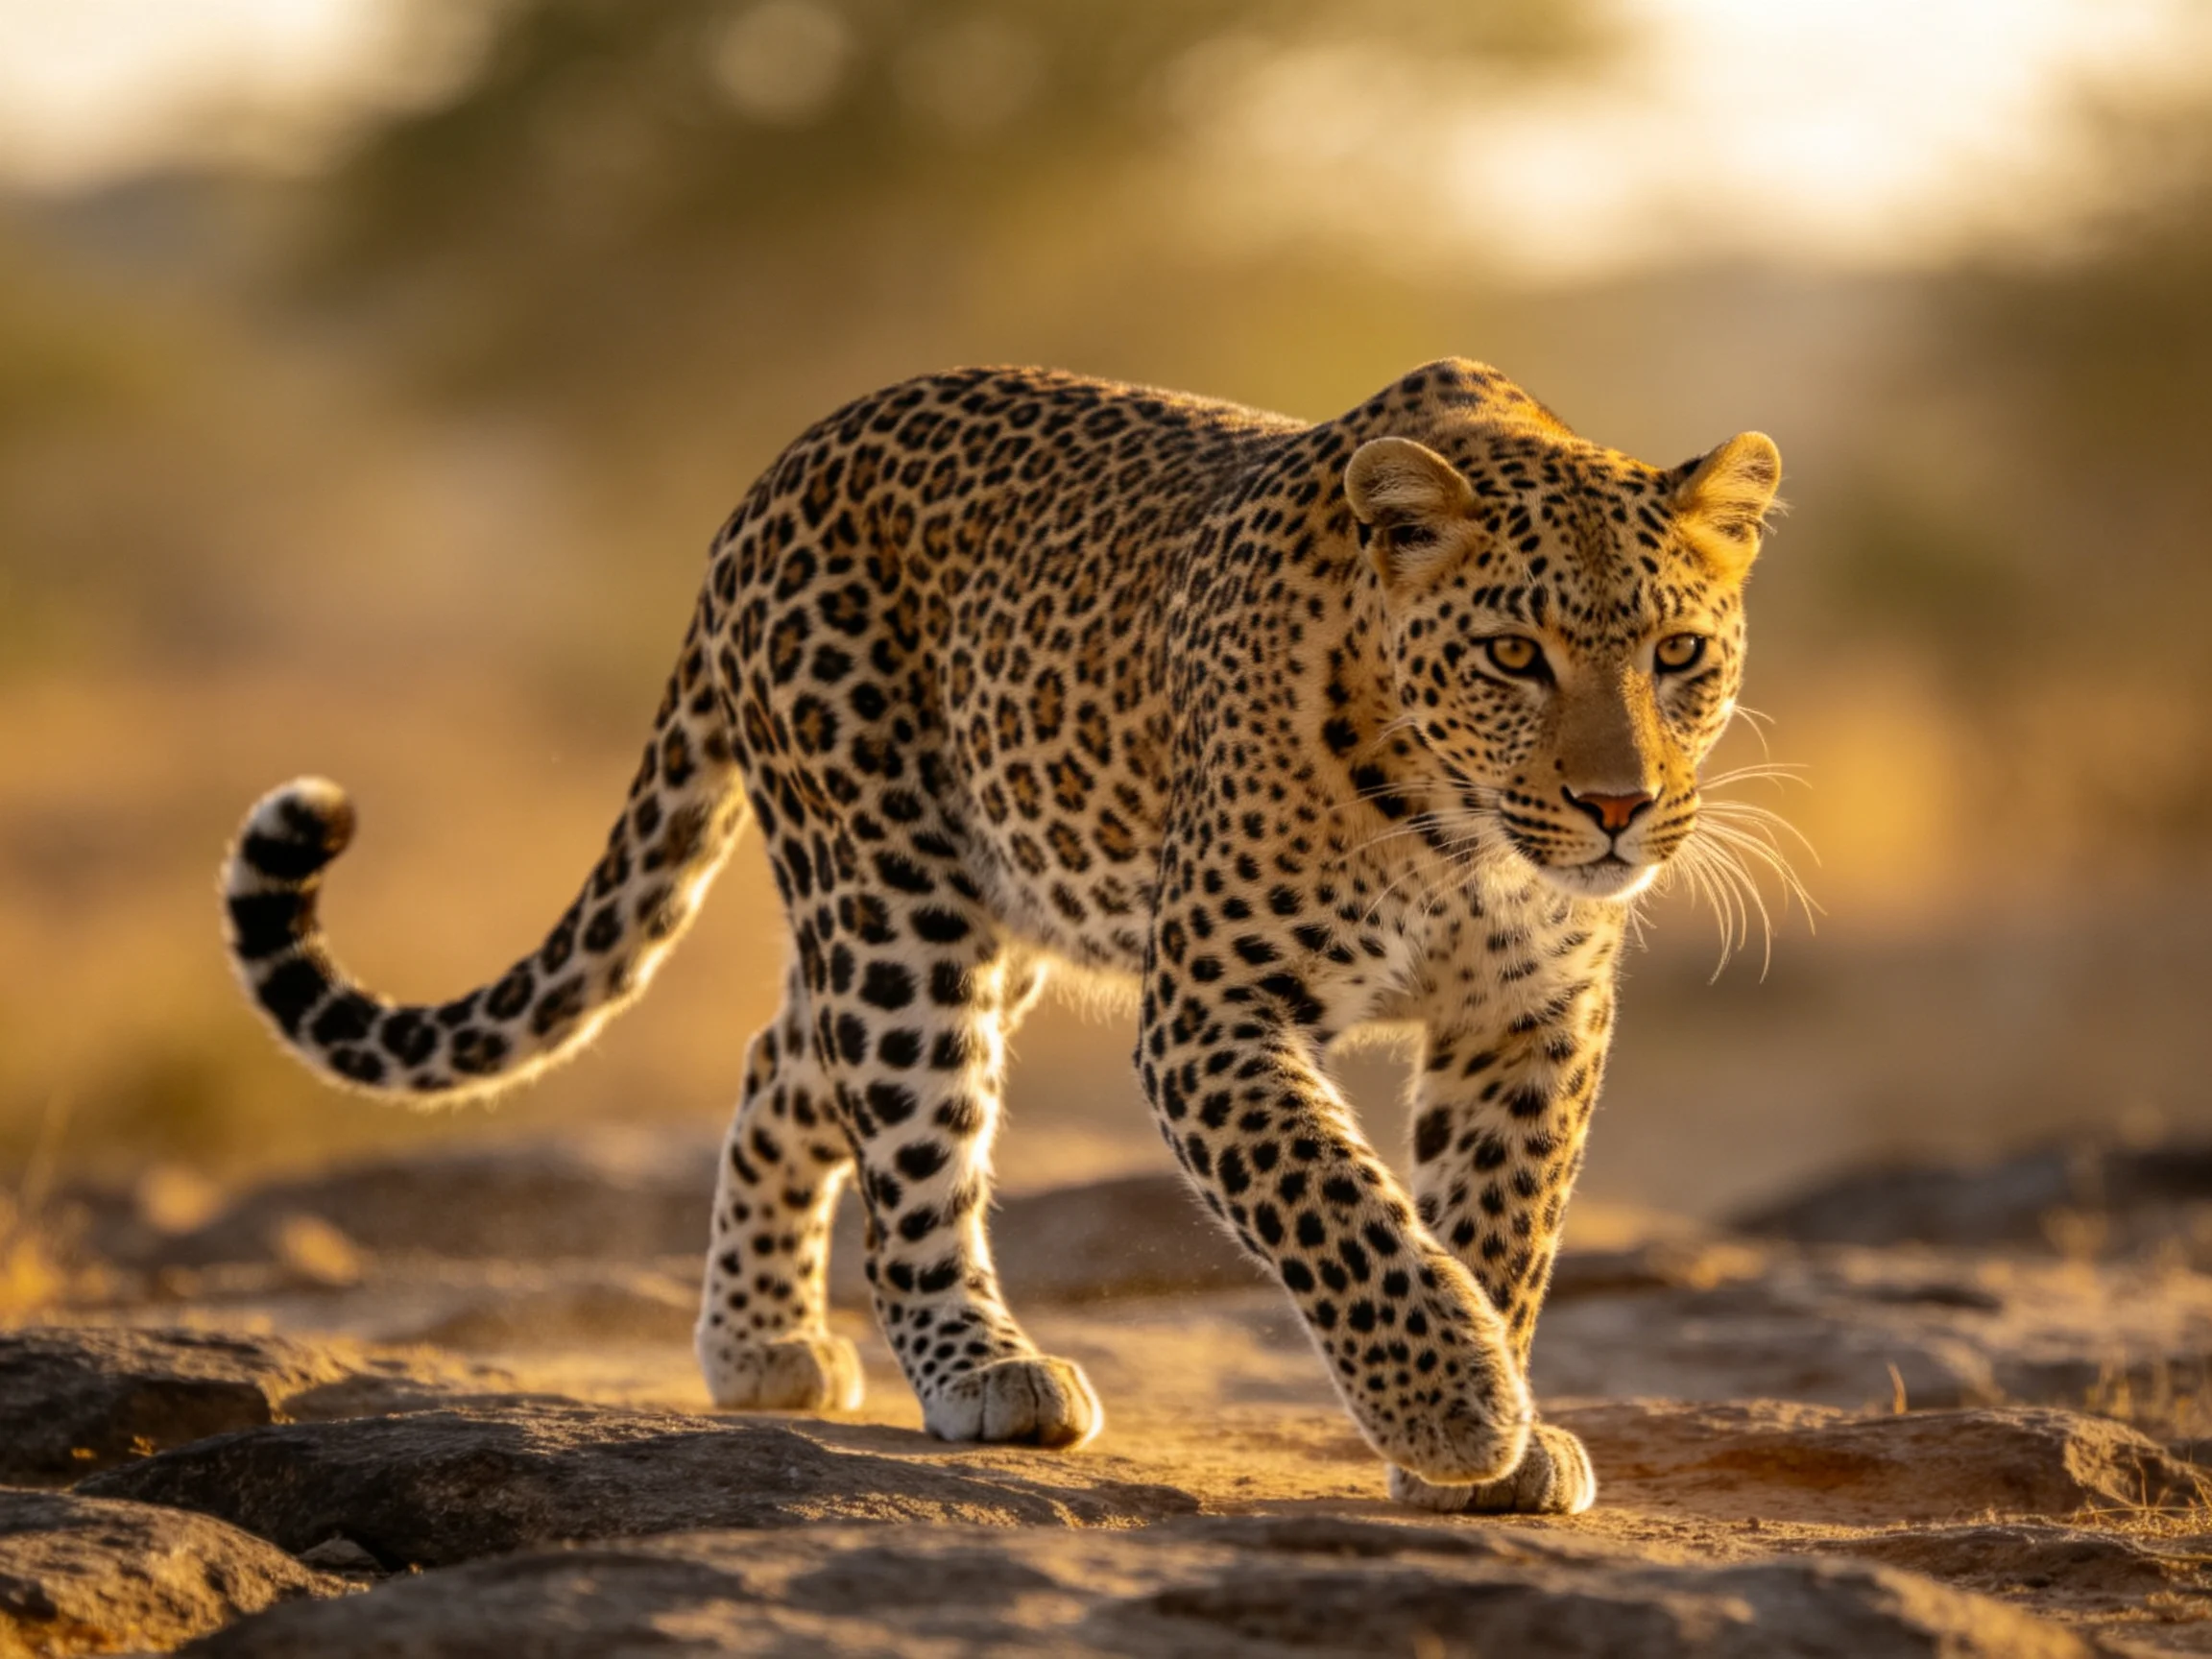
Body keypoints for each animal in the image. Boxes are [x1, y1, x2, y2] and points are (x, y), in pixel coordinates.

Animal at [220, 358, 1781, 1515]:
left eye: (1679, 657)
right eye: (1515, 655)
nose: (1617, 807)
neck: (1466, 840)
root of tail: (771, 476)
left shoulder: (1531, 1020)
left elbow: (1504, 1220)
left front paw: (1486, 1436)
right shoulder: (1213, 1013)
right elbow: (1340, 1207)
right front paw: (1456, 1409)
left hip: (989, 906)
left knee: (784, 1066)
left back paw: (759, 1345)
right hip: (896, 896)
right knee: (910, 1148)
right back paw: (981, 1369)